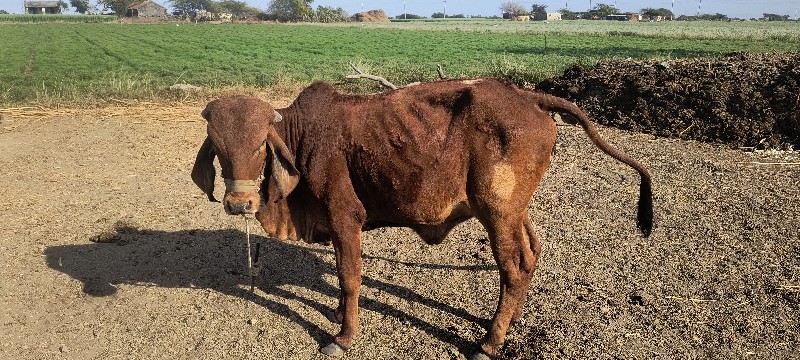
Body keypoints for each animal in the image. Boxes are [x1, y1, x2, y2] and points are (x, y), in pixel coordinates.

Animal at [191, 78, 652, 358]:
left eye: (258, 146)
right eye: (218, 145)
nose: (239, 204)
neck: (304, 138)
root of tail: (528, 97)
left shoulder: (345, 219)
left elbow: (349, 278)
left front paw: (344, 337)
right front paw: (338, 315)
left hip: (496, 211)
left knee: (514, 267)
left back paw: (490, 341)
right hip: (514, 212)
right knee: (531, 254)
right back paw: (511, 319)